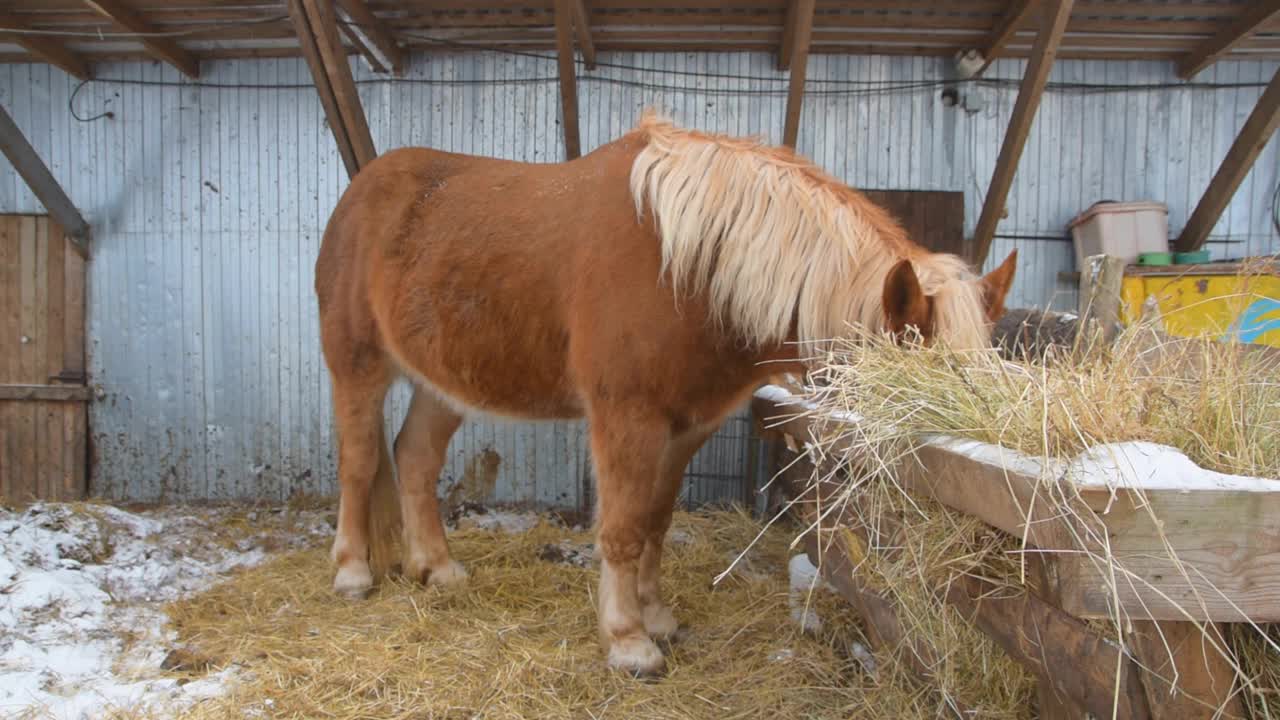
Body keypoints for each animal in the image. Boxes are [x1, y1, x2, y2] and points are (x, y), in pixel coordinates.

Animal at [314, 110, 1013, 671]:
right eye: (912, 390)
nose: (973, 536)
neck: (687, 270)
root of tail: (361, 190)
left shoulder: (686, 427)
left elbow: (654, 522)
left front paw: (657, 620)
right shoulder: (627, 418)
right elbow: (622, 529)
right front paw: (628, 642)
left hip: (442, 384)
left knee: (414, 459)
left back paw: (437, 570)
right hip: (358, 366)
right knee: (359, 463)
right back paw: (351, 573)